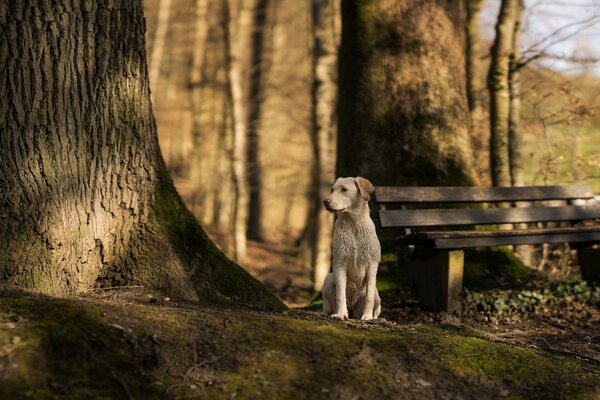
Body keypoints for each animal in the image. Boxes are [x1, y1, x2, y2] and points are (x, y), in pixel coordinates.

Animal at [322, 177, 382, 320]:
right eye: (332, 190)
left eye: (344, 189)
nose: (325, 201)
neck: (353, 224)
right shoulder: (339, 263)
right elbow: (340, 294)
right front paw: (341, 314)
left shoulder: (372, 264)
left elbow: (369, 297)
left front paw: (367, 316)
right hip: (329, 278)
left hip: (377, 294)